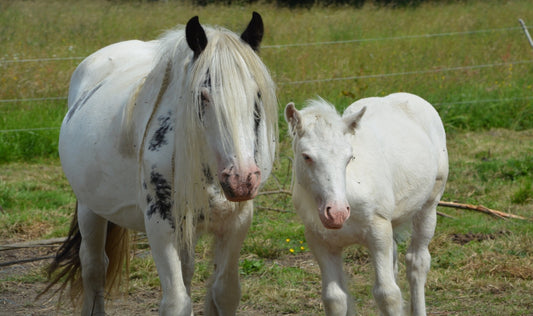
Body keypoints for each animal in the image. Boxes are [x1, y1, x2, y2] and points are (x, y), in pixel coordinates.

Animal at [43, 12, 276, 316]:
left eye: (257, 94)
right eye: (202, 96)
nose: (242, 180)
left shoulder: (235, 222)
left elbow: (224, 293)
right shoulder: (160, 224)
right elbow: (177, 301)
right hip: (90, 208)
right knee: (94, 267)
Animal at [284, 92, 446, 314]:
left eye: (349, 157)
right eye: (306, 156)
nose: (337, 213)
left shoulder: (378, 230)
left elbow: (388, 294)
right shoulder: (320, 241)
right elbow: (334, 297)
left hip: (429, 205)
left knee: (417, 262)